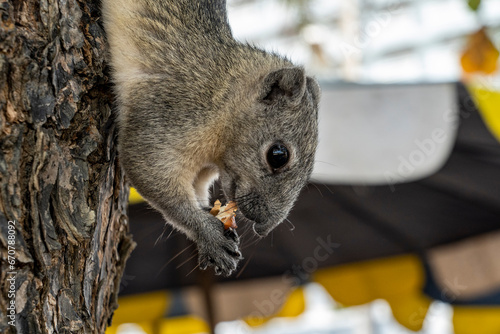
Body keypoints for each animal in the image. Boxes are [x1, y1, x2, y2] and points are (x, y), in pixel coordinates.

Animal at [102, 0, 320, 276]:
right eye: (278, 155)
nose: (264, 228)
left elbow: (197, 191)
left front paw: (209, 214)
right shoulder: (167, 115)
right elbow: (150, 172)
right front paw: (208, 234)